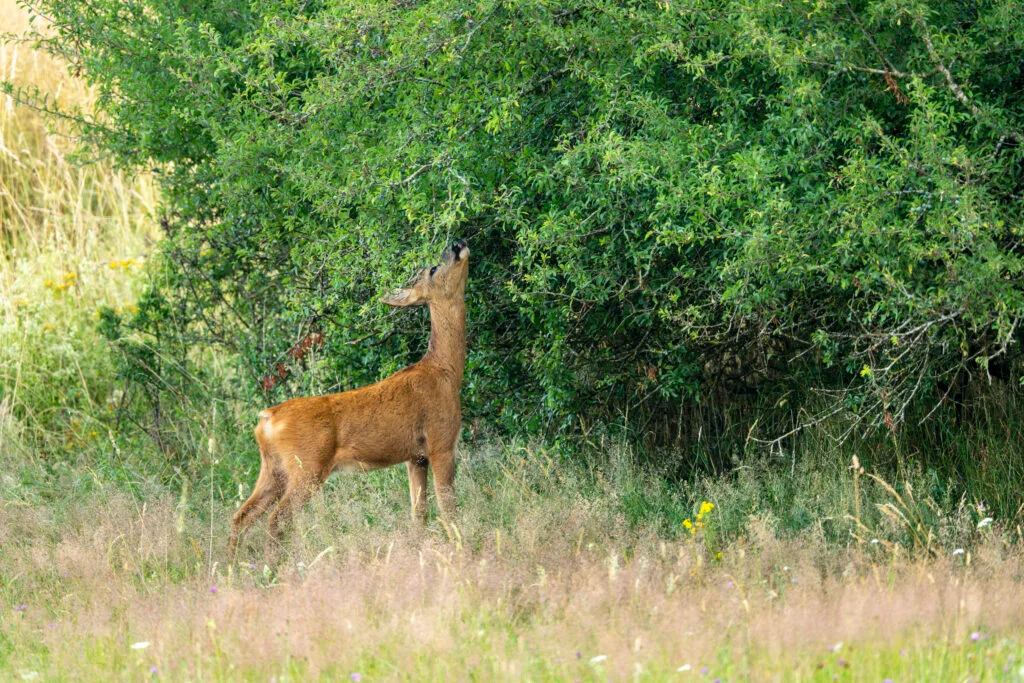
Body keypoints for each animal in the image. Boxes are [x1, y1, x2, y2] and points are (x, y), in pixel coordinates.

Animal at [228, 240, 470, 560]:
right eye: (432, 268)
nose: (457, 244)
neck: (445, 371)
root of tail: (266, 419)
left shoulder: (415, 456)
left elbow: (419, 512)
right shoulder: (440, 442)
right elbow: (448, 507)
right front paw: (459, 549)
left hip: (273, 469)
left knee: (241, 516)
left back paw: (233, 566)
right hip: (307, 467)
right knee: (276, 519)